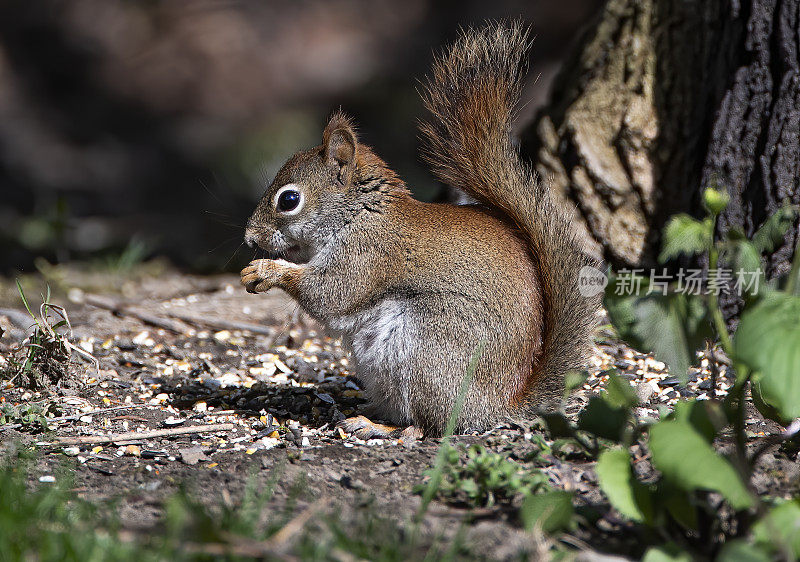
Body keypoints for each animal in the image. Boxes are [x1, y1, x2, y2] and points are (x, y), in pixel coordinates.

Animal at [244, 23, 600, 438]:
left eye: (288, 200)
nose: (250, 237)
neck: (360, 214)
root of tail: (498, 405)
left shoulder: (367, 254)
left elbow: (330, 293)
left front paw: (267, 270)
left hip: (425, 350)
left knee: (425, 426)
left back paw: (377, 427)